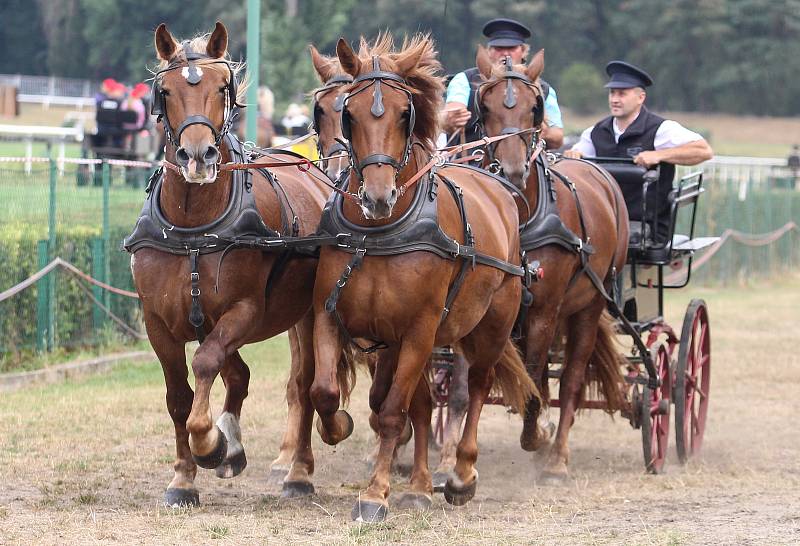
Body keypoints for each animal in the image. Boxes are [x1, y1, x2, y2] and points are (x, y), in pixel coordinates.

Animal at [127, 22, 332, 506]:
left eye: (222, 86)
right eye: (166, 90)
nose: (197, 157)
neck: (192, 226)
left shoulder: (245, 310)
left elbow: (204, 365)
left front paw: (209, 442)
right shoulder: (157, 321)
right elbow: (178, 395)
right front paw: (184, 478)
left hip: (309, 314)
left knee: (305, 385)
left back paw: (298, 472)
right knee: (238, 373)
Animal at [310, 36, 536, 520]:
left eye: (403, 113)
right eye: (348, 114)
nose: (378, 197)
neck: (379, 233)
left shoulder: (418, 329)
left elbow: (393, 412)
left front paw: (374, 495)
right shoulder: (331, 315)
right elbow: (327, 391)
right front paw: (338, 426)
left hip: (490, 322)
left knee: (476, 386)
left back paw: (461, 473)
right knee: (424, 402)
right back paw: (418, 485)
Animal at [468, 46, 632, 478]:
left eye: (535, 107)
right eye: (484, 105)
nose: (511, 171)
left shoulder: (544, 308)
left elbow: (537, 370)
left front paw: (535, 435)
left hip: (588, 305)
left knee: (571, 378)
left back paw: (556, 458)